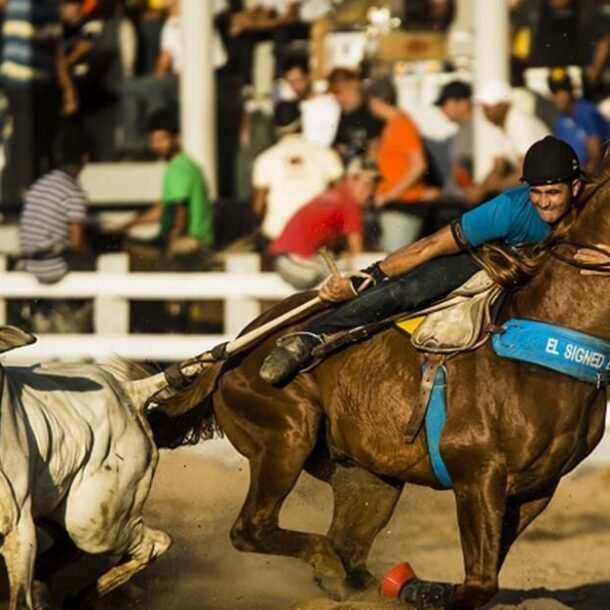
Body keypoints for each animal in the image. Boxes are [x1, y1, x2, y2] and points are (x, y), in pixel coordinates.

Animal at [0, 328, 176, 608]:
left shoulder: (17, 525)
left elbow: (19, 597)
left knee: (154, 543)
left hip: (93, 522)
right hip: (58, 508)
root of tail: (129, 391)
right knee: (68, 548)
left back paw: (83, 595)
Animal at [148, 164, 608, 604]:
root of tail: (236, 349)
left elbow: (486, 575)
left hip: (368, 476)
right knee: (255, 530)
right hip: (283, 437)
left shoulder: (537, 489)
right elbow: (479, 584)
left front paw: (416, 588)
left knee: (345, 544)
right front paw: (428, 591)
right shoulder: (478, 474)